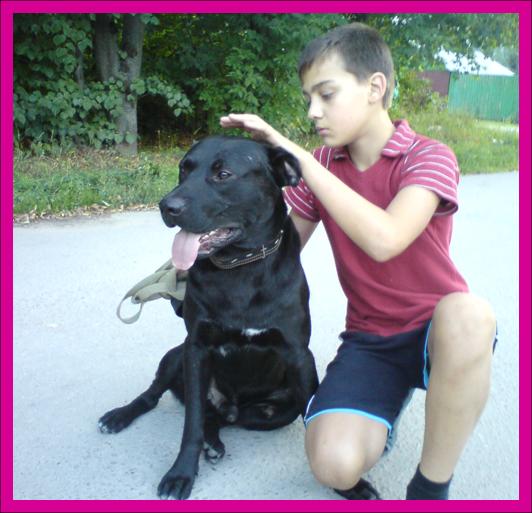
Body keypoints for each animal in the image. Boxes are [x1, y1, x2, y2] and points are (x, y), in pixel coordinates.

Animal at [98, 136, 319, 499]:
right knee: (160, 397)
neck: (241, 266)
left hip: (273, 412)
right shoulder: (196, 348)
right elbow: (192, 424)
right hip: (175, 356)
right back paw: (121, 416)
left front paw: (354, 487)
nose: (167, 206)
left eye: (223, 174)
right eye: (183, 169)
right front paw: (181, 473)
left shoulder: (300, 355)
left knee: (226, 419)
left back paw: (216, 439)